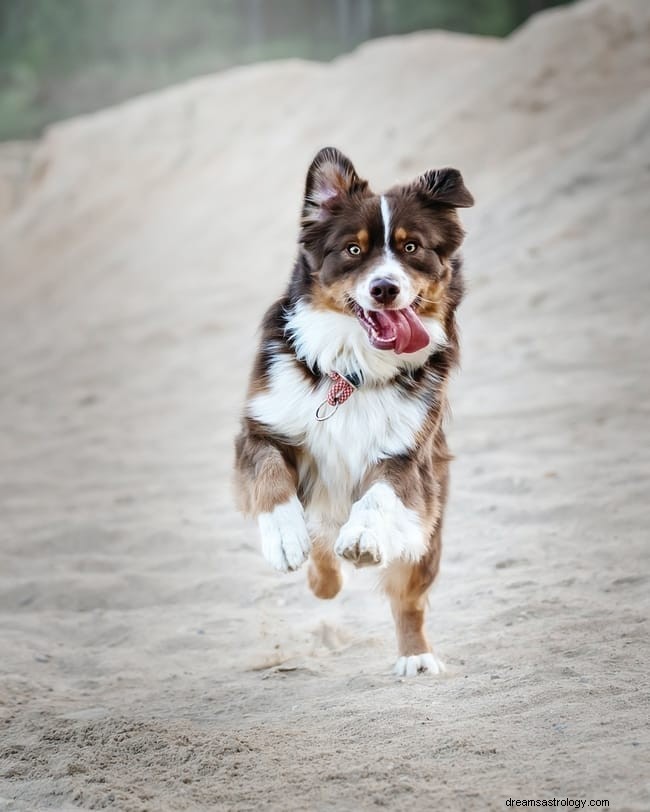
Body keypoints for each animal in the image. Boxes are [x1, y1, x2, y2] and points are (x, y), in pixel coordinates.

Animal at [233, 149, 470, 676]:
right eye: (354, 250)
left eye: (411, 247)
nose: (384, 289)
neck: (352, 370)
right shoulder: (262, 428)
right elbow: (270, 476)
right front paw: (284, 538)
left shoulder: (407, 456)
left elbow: (378, 497)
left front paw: (362, 538)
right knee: (321, 546)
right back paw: (321, 573)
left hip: (429, 526)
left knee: (408, 598)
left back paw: (415, 655)